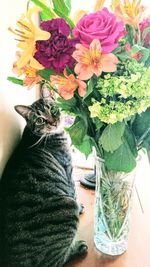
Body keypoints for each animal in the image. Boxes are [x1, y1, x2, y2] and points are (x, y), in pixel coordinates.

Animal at [0, 89, 88, 267]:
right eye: (40, 119)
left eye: (52, 109)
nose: (53, 122)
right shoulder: (68, 170)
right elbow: (74, 193)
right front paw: (80, 206)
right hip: (66, 207)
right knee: (56, 261)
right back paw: (78, 247)